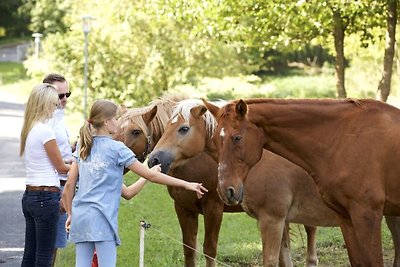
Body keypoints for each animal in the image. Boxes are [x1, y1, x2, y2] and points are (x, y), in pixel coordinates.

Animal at [203, 98, 400, 267]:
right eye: (215, 140)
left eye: (237, 137)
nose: (225, 190)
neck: (344, 138)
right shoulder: (345, 218)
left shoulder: (367, 216)